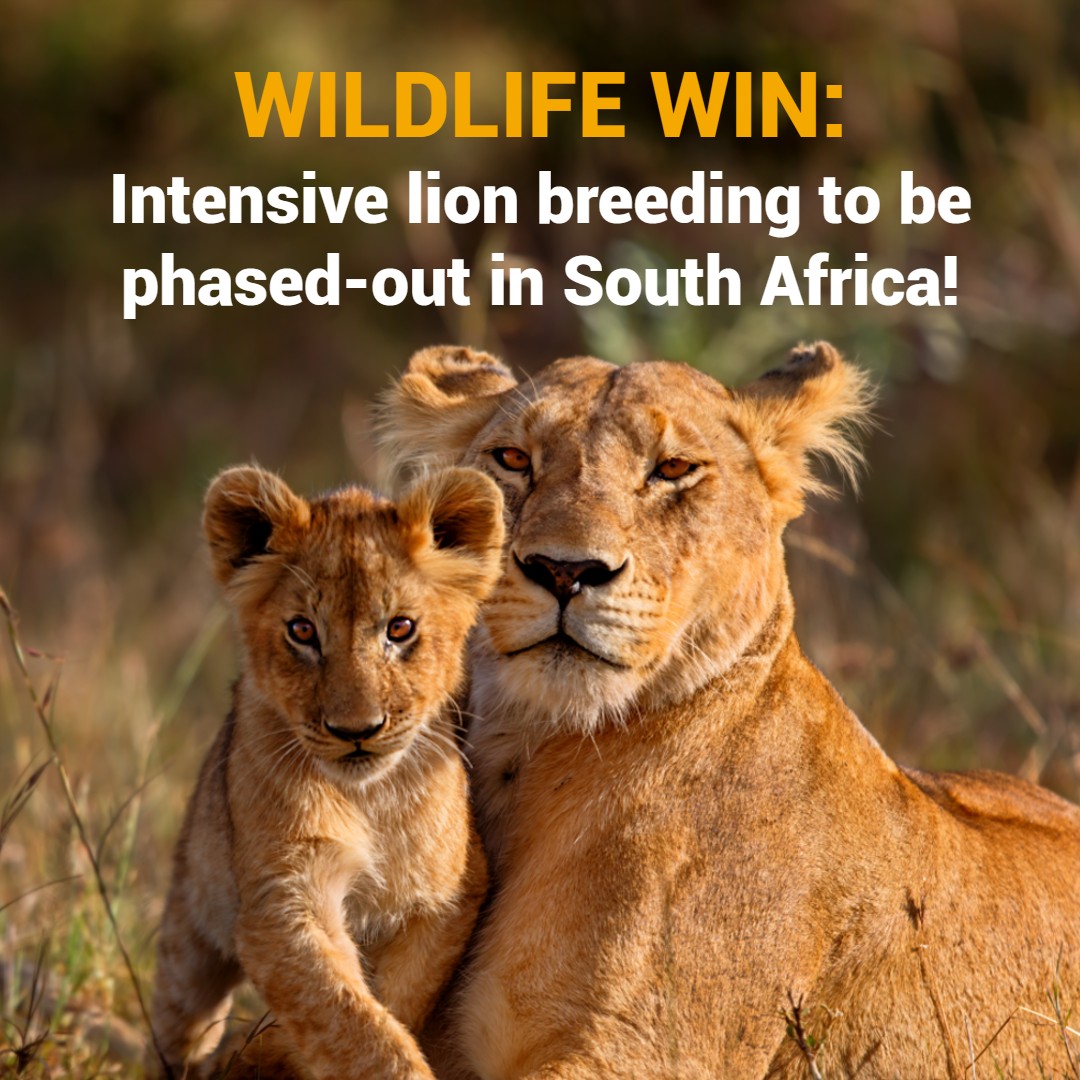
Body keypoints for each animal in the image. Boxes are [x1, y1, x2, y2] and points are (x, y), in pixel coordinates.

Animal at [148, 464, 502, 1080]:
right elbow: (347, 1016)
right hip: (189, 933)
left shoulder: (447, 897)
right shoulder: (282, 898)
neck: (369, 799)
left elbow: (390, 1002)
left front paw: (270, 1055)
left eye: (400, 628)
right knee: (176, 1027)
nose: (356, 729)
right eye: (303, 631)